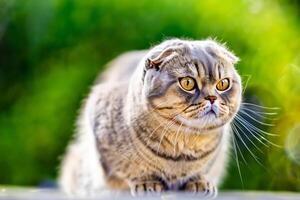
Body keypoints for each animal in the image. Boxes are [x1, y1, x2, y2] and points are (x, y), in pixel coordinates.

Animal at [58, 38, 241, 198]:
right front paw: (147, 183)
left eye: (223, 84)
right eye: (188, 83)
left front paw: (199, 182)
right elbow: (126, 171)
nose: (212, 98)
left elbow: (203, 170)